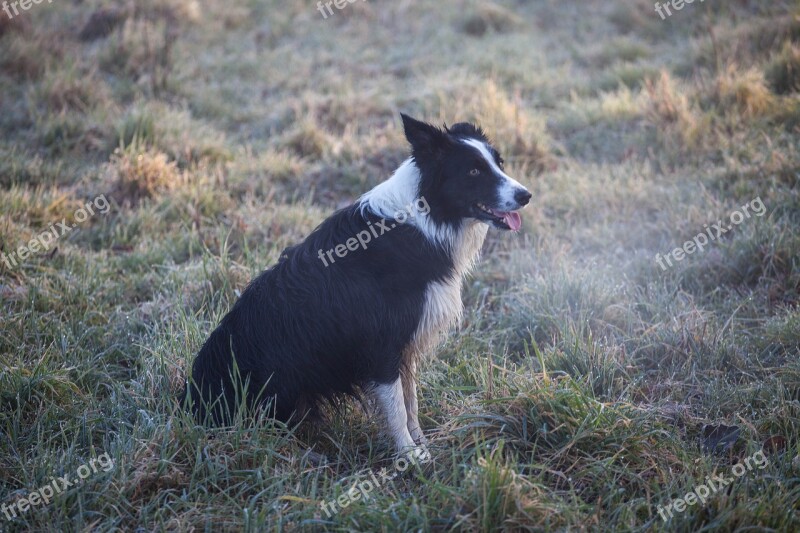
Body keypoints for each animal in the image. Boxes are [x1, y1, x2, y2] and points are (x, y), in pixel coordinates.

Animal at [183, 113, 532, 454]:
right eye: (473, 170)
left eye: (499, 163)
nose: (526, 195)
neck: (424, 218)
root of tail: (191, 401)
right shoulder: (382, 347)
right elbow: (398, 408)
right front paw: (410, 457)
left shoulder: (406, 345)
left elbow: (411, 401)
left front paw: (422, 446)